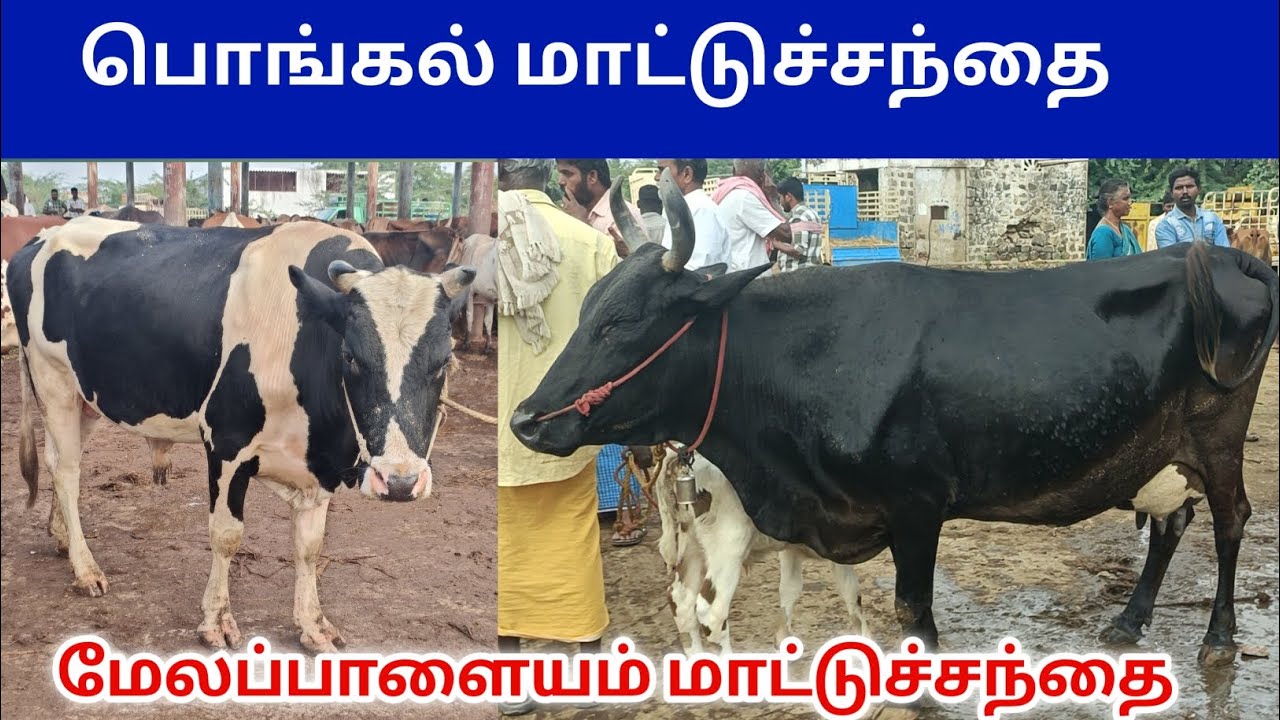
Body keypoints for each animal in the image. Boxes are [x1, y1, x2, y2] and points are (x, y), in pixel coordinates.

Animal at [7, 217, 475, 652]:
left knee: (58, 460)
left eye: (445, 361)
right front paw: (216, 620)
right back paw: (85, 568)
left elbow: (310, 545)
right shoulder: (226, 443)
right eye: (351, 357)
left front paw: (312, 625)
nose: (399, 482)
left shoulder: (319, 467)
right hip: (53, 379)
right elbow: (226, 536)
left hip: (86, 396)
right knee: (67, 470)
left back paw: (62, 537)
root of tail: (42, 236)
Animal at [637, 445, 867, 654]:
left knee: (681, 601)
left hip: (693, 545)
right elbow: (851, 593)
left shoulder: (794, 546)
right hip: (728, 545)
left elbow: (793, 587)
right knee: (712, 614)